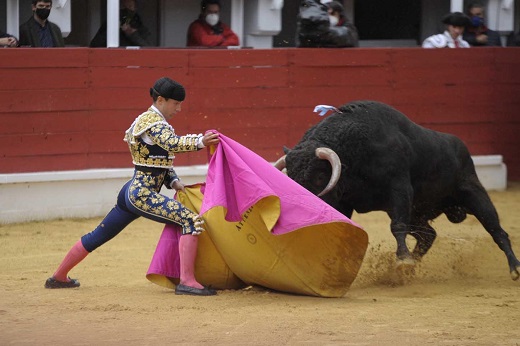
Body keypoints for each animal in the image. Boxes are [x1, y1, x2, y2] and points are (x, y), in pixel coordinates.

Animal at [274, 100, 516, 282]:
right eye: (290, 178)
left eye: (318, 177)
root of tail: (461, 147)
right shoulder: (344, 201)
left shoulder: (399, 190)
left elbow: (396, 226)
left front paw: (402, 260)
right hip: (417, 212)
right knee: (428, 235)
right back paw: (411, 268)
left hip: (474, 194)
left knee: (496, 230)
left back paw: (515, 269)